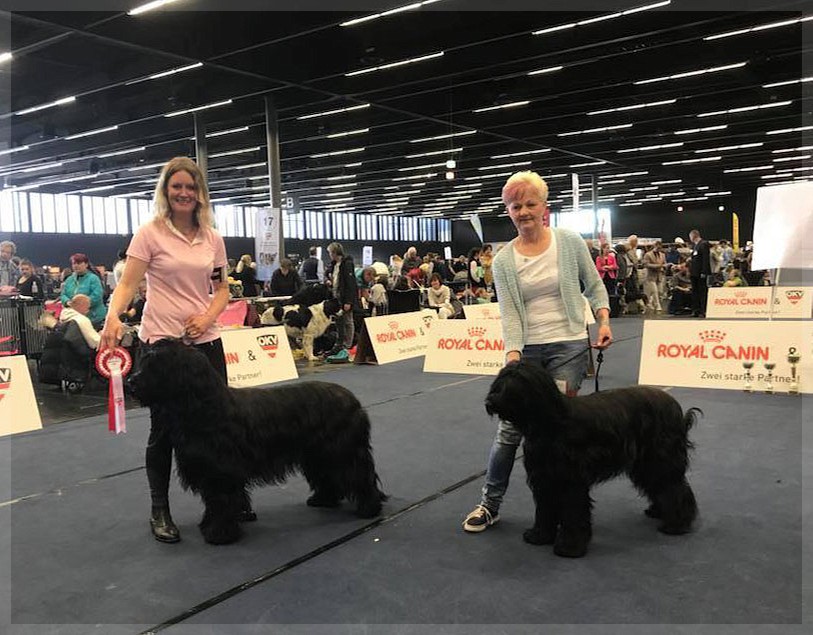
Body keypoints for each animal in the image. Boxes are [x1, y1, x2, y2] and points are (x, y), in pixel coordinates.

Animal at [131, 340, 386, 544]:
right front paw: (210, 526)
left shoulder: (221, 473)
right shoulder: (210, 473)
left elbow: (221, 502)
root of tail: (354, 400)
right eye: (143, 360)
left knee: (359, 476)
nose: (131, 382)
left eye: (155, 363)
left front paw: (219, 534)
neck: (205, 408)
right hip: (317, 454)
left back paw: (369, 508)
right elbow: (214, 502)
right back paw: (323, 500)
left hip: (343, 452)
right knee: (327, 477)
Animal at [482, 360, 696, 560]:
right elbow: (545, 508)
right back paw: (659, 512)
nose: (489, 402)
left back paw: (677, 524)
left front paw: (570, 547)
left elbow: (573, 512)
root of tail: (675, 407)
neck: (551, 424)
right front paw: (539, 536)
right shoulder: (544, 478)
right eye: (499, 381)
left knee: (675, 488)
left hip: (660, 460)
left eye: (515, 382)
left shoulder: (571, 481)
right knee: (661, 486)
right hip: (646, 464)